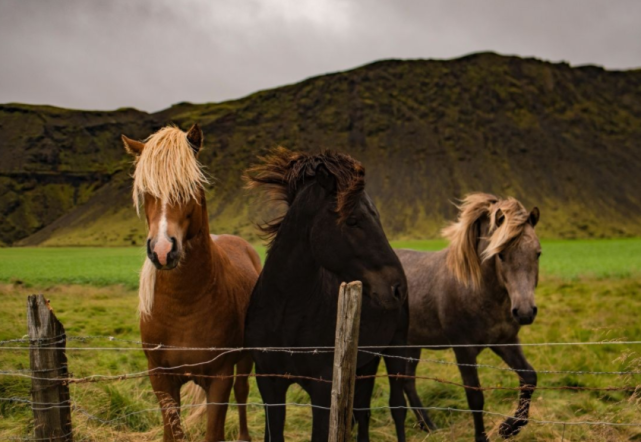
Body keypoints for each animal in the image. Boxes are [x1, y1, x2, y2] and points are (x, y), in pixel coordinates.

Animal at [121, 124, 262, 442]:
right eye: (145, 191)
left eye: (190, 187)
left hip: (245, 360)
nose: (162, 250)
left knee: (243, 392)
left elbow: (215, 431)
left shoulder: (220, 377)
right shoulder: (160, 378)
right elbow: (171, 432)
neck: (183, 306)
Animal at [242, 148, 412, 442]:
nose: (397, 288)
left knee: (396, 408)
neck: (285, 313)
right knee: (362, 412)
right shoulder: (269, 384)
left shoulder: (322, 391)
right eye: (353, 220)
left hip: (394, 352)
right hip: (366, 363)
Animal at [398, 194, 544, 442]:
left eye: (538, 253)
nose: (524, 311)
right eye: (500, 254)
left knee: (407, 380)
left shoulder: (505, 342)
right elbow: (475, 397)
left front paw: (509, 427)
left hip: (412, 344)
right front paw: (483, 436)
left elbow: (529, 378)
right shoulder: (464, 350)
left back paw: (428, 426)